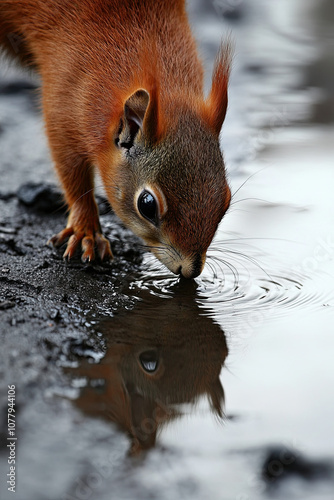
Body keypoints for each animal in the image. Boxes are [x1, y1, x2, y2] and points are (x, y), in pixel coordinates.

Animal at [0, 0, 231, 280]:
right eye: (147, 205)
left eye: (226, 201)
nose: (190, 271)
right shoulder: (61, 107)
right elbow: (72, 172)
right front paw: (86, 230)